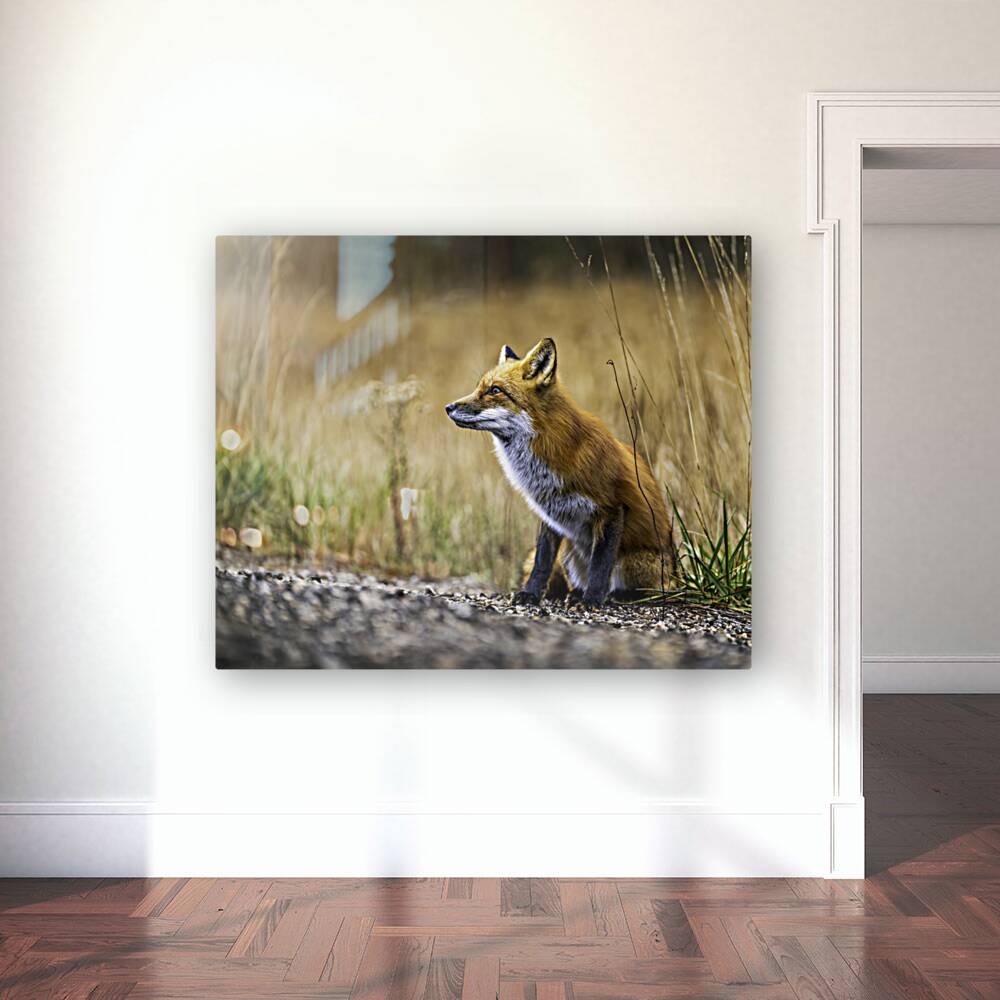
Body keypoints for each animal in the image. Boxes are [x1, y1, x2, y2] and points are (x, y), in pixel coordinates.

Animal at [445, 338, 674, 607]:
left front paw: (592, 599)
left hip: (639, 565)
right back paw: (575, 592)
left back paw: (617, 594)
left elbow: (600, 565)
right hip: (569, 552)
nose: (448, 407)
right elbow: (542, 561)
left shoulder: (612, 508)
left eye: (495, 390)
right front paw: (531, 593)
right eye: (479, 387)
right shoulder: (551, 509)